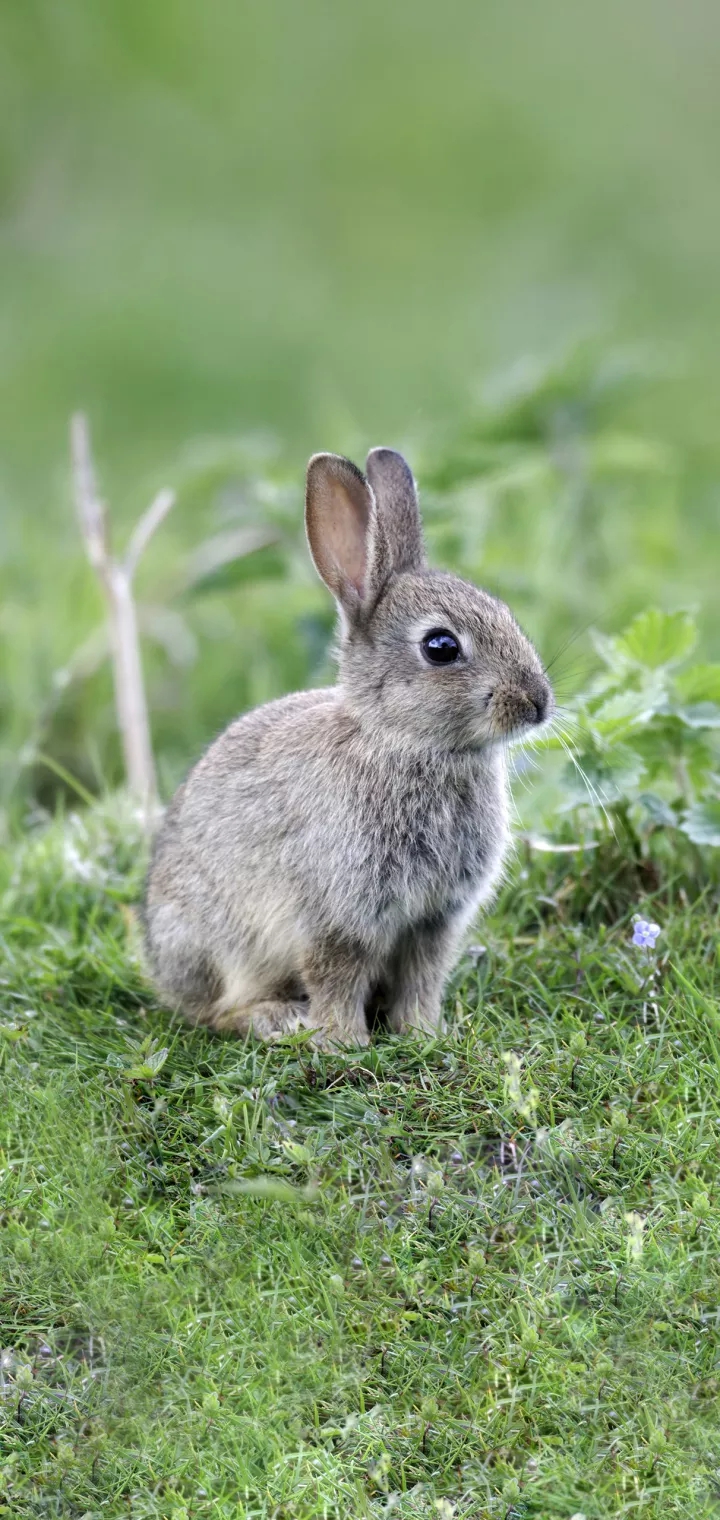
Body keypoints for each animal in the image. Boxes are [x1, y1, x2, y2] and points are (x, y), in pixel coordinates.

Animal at [143, 447, 552, 1048]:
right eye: (441, 646)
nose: (538, 703)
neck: (404, 742)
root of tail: (160, 968)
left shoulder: (434, 920)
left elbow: (423, 976)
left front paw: (425, 1034)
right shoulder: (336, 914)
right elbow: (336, 974)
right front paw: (344, 1043)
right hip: (220, 945)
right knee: (218, 1011)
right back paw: (278, 1020)